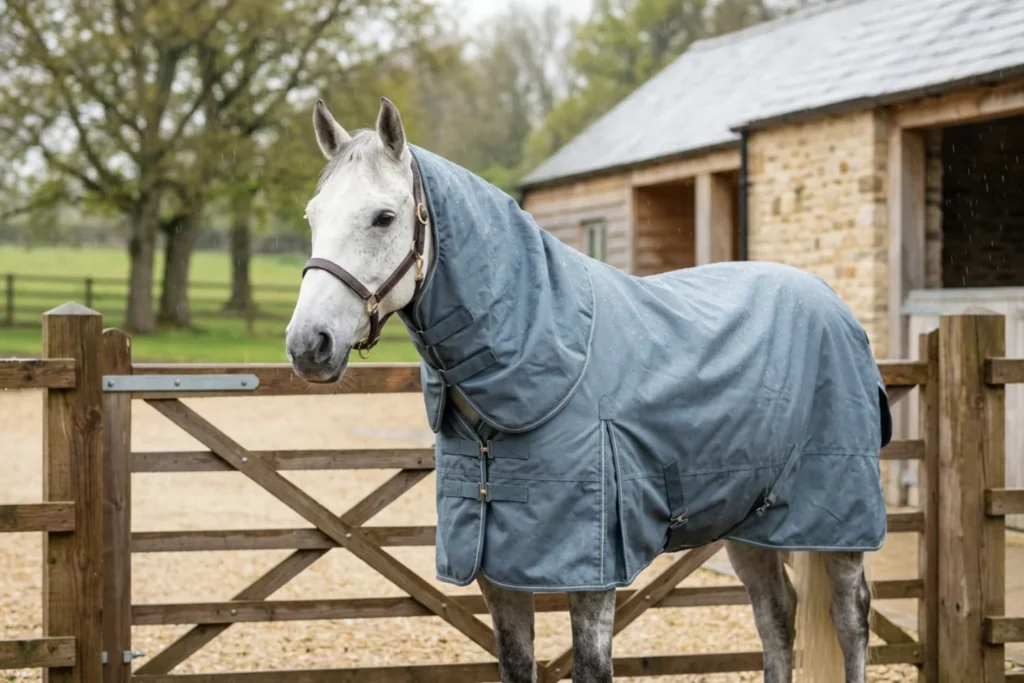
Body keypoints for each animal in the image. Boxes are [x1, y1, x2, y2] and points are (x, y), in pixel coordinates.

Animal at [285, 96, 892, 683]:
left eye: (383, 217)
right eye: (312, 216)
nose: (308, 344)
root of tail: (832, 303)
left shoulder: (593, 570)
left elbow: (592, 667)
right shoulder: (496, 568)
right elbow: (516, 663)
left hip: (839, 525)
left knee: (850, 618)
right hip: (748, 519)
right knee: (775, 615)